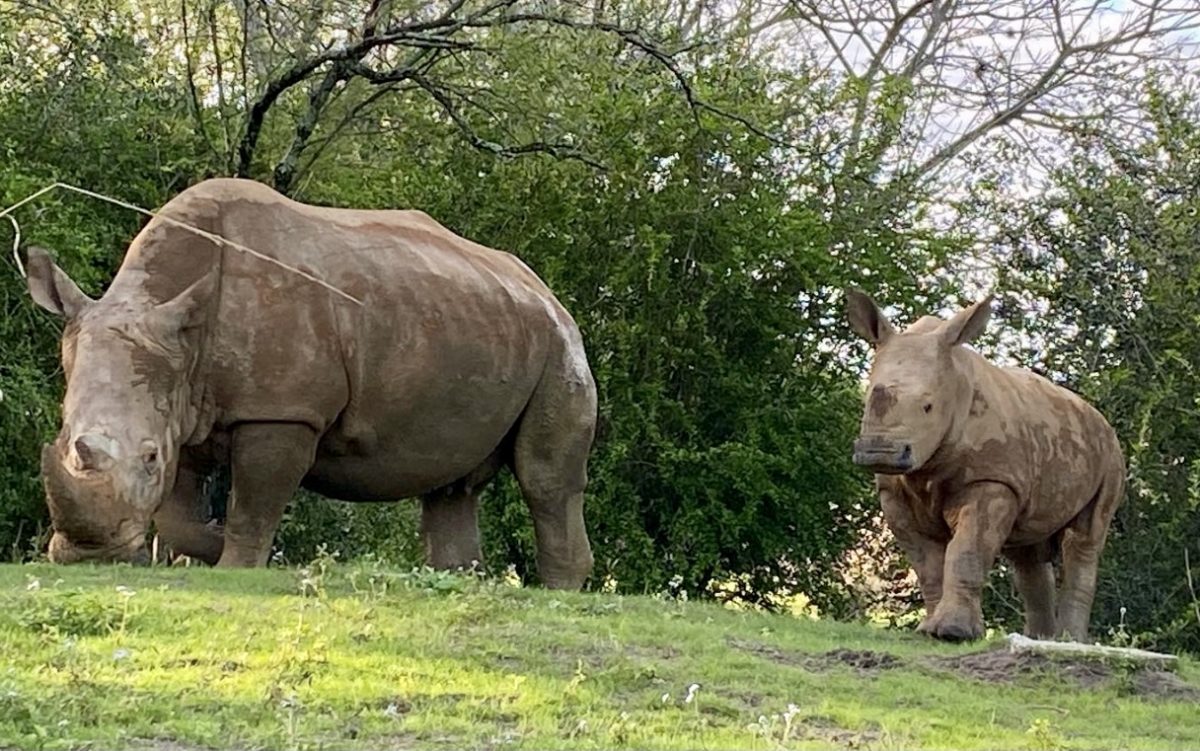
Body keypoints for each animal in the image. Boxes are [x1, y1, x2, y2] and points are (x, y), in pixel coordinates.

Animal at [25, 178, 596, 589]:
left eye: (148, 457)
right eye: (62, 435)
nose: (89, 557)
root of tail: (540, 286)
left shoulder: (282, 410)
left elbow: (256, 497)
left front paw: (235, 563)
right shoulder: (182, 403)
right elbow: (178, 514)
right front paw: (202, 550)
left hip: (559, 344)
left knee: (545, 478)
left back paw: (560, 591)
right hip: (477, 322)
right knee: (452, 485)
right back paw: (458, 579)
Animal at [846, 290, 1125, 642]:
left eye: (928, 407)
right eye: (867, 397)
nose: (879, 452)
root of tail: (1098, 416)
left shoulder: (992, 479)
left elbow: (968, 549)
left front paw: (953, 633)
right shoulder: (893, 491)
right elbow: (926, 563)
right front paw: (928, 630)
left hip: (1110, 456)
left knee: (1084, 540)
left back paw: (1067, 641)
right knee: (1028, 553)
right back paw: (1040, 639)